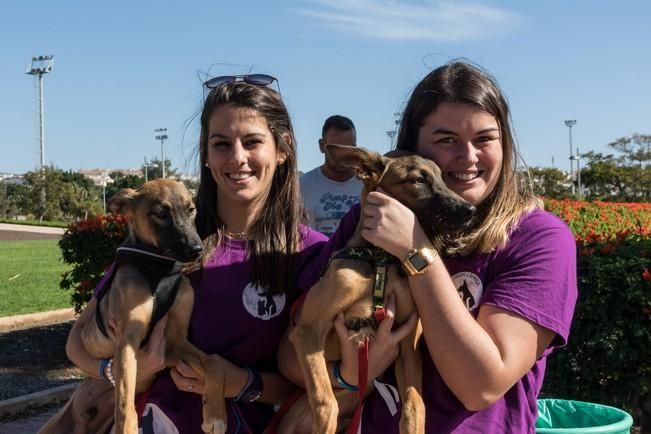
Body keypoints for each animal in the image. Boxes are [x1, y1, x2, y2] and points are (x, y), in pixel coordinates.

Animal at [39, 179, 229, 434]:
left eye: (191, 209)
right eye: (160, 213)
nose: (196, 249)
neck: (160, 269)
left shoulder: (174, 344)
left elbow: (213, 362)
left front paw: (216, 415)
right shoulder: (128, 341)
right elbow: (125, 401)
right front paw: (128, 427)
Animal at [288, 146, 476, 434]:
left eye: (443, 177)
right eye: (418, 180)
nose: (471, 210)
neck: (382, 261)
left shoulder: (408, 343)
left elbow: (414, 406)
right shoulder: (307, 329)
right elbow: (325, 402)